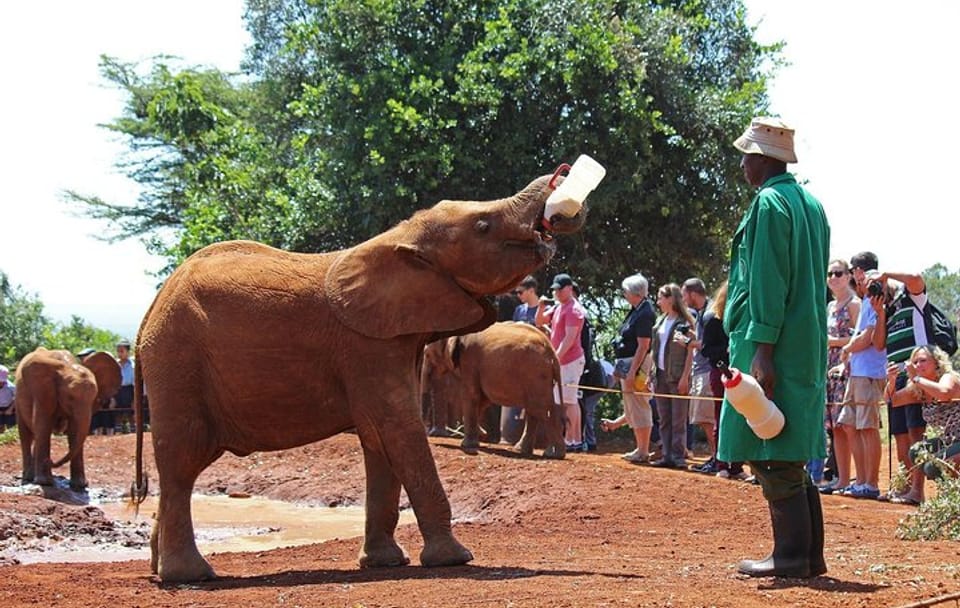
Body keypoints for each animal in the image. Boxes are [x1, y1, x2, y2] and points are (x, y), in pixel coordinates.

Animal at [15, 347, 122, 490]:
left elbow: (74, 431)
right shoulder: (43, 392)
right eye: (70, 397)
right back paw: (29, 477)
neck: (67, 366)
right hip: (17, 399)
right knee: (26, 434)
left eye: (94, 398)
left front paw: (80, 485)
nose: (50, 461)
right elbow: (43, 425)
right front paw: (45, 483)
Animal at [421, 322, 565, 458]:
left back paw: (553, 454)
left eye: (427, 355)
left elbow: (472, 395)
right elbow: (483, 399)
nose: (485, 433)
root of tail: (552, 353)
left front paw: (467, 444)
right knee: (533, 410)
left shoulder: (469, 360)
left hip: (535, 374)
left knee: (542, 409)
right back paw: (522, 450)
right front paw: (480, 434)